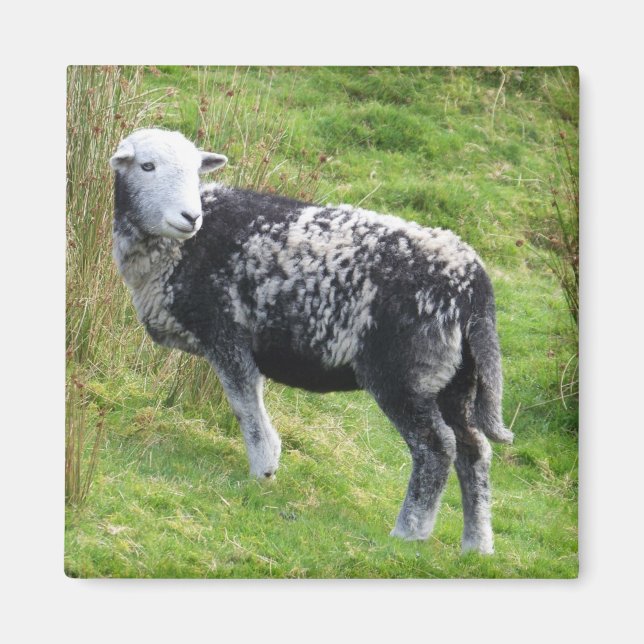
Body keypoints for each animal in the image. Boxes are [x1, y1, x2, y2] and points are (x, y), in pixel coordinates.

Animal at [110, 128, 513, 554]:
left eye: (194, 170)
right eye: (147, 166)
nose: (190, 217)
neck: (176, 249)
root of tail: (472, 284)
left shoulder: (226, 331)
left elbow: (245, 404)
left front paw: (264, 469)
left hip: (407, 372)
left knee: (436, 447)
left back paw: (410, 532)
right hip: (456, 377)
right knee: (474, 450)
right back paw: (477, 545)